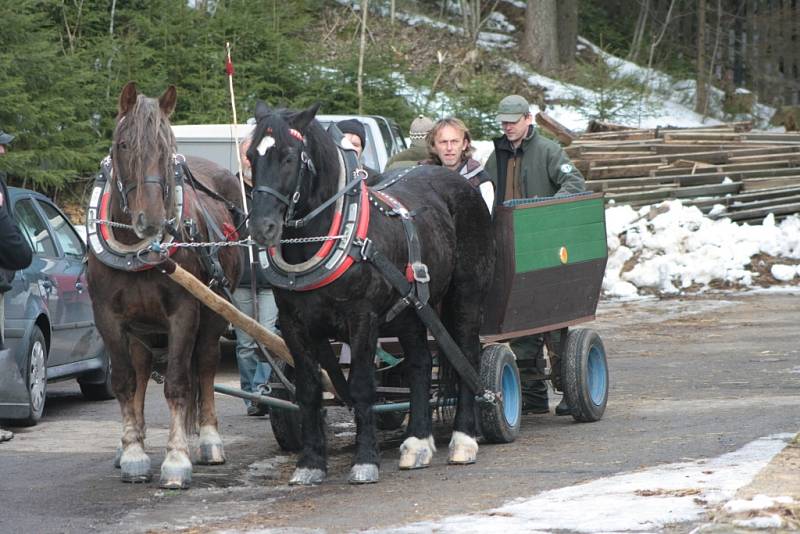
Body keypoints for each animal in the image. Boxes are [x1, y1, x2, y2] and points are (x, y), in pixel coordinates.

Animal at [87, 82, 242, 490]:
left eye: (167, 147)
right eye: (123, 144)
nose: (153, 220)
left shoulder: (184, 314)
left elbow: (177, 383)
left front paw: (176, 460)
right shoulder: (108, 317)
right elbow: (124, 382)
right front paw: (133, 454)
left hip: (214, 312)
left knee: (204, 365)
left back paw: (209, 440)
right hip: (141, 327)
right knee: (141, 372)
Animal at [247, 102, 494, 488]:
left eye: (288, 157)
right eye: (250, 157)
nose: (262, 228)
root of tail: (459, 183)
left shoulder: (361, 318)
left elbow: (362, 387)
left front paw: (365, 462)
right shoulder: (294, 324)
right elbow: (309, 390)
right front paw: (310, 463)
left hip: (465, 297)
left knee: (467, 354)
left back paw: (464, 440)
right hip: (411, 308)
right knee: (420, 364)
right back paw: (417, 443)